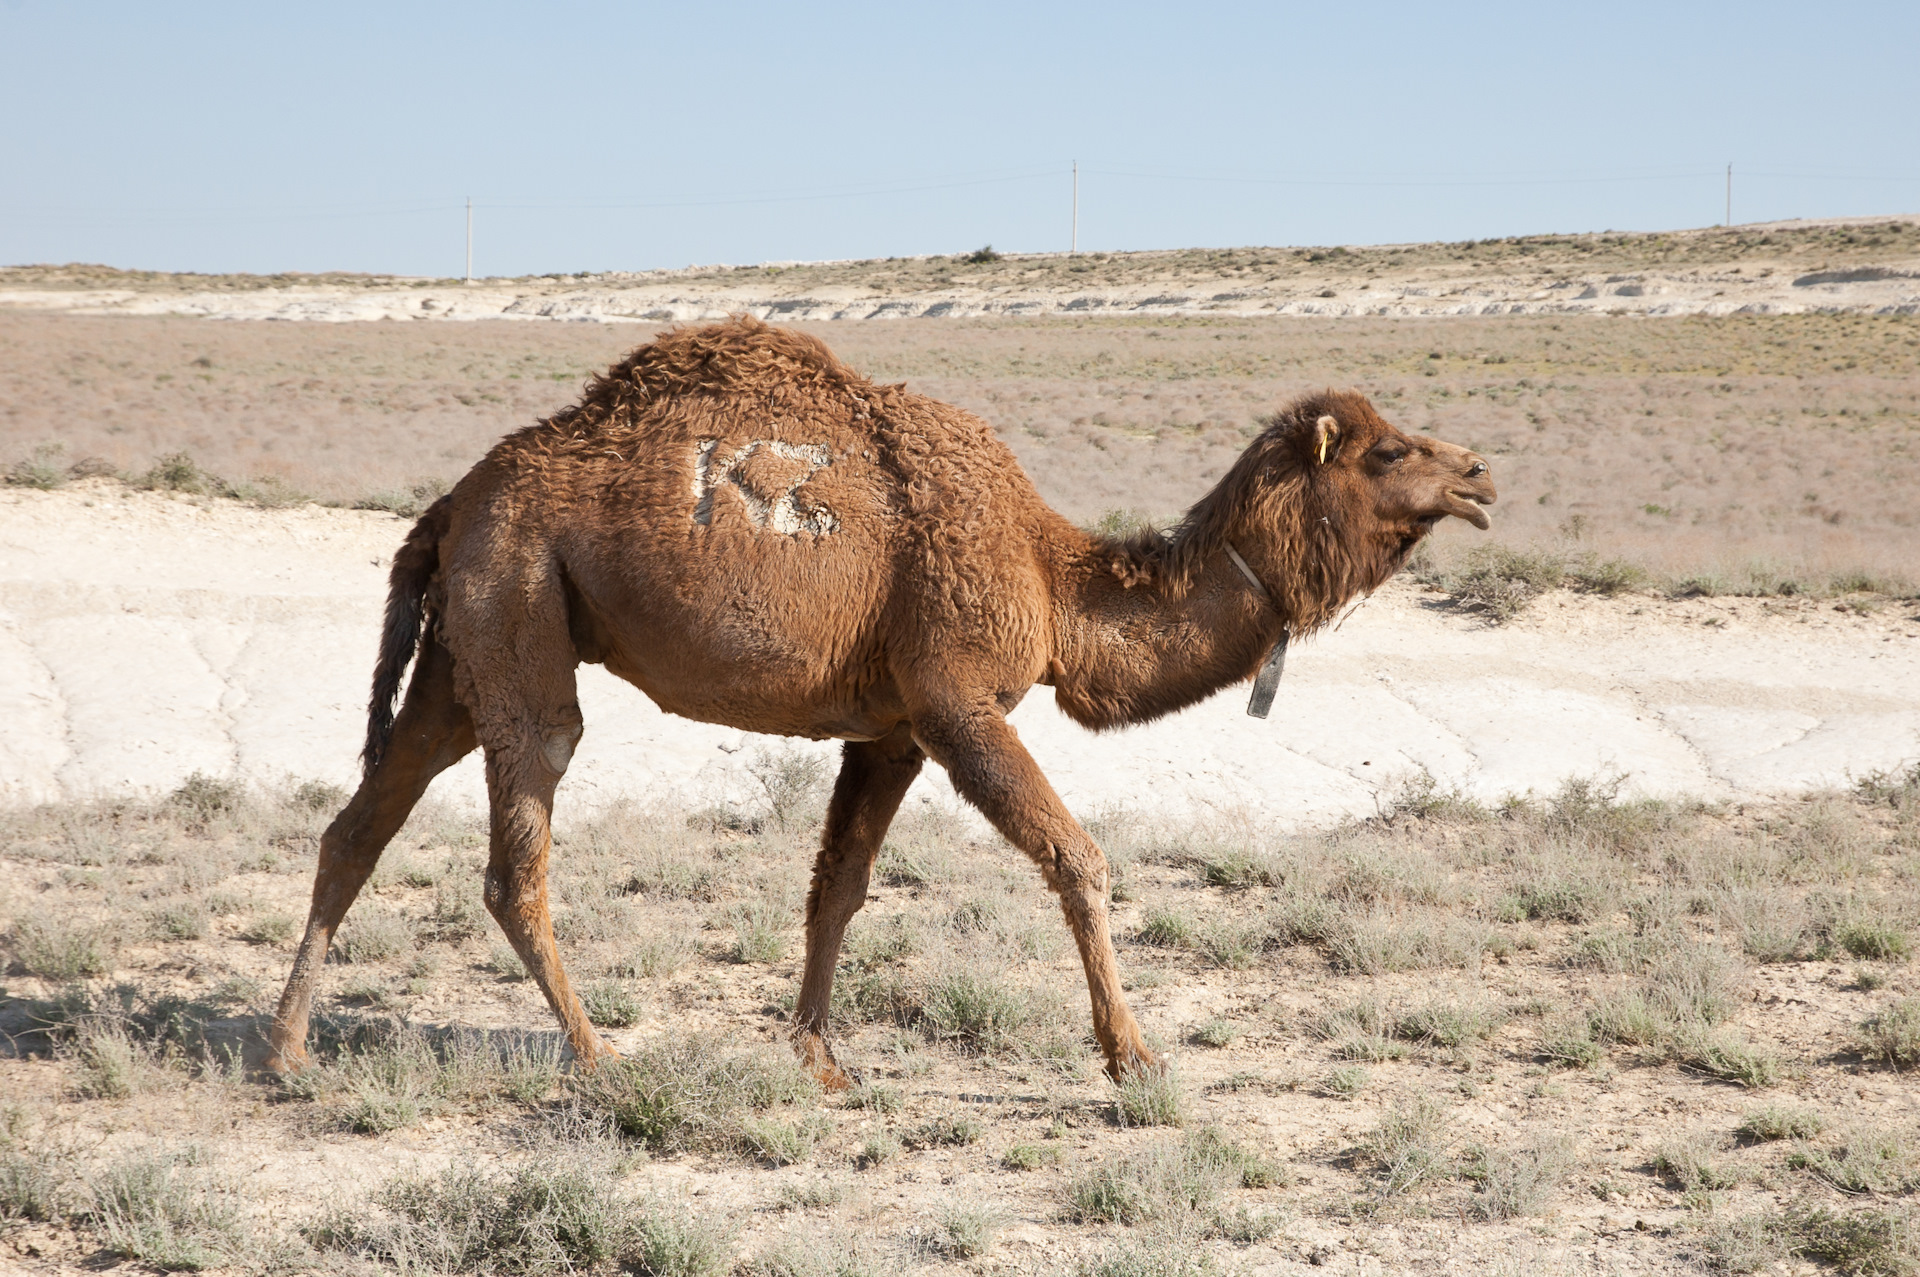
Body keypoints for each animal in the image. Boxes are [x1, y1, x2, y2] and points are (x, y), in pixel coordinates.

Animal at [270, 316, 1497, 1083]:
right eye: (1391, 451)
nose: (1481, 473)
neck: (1050, 574)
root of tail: (450, 500)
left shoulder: (893, 727)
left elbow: (839, 885)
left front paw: (820, 1057)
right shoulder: (958, 697)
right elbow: (1079, 858)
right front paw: (1135, 1060)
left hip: (464, 641)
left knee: (362, 819)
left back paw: (286, 1050)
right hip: (519, 603)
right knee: (516, 844)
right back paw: (596, 1053)